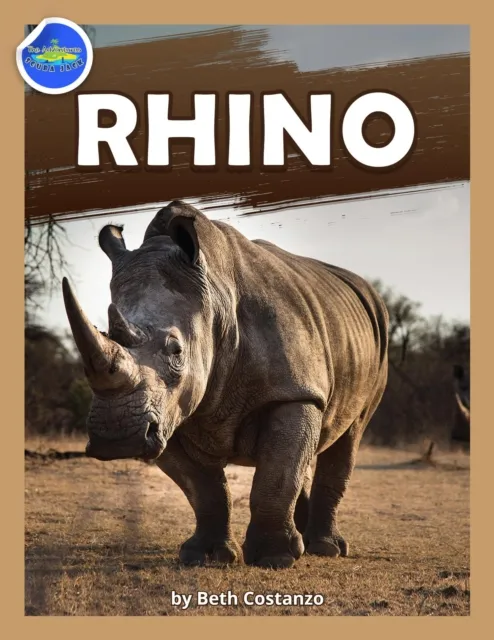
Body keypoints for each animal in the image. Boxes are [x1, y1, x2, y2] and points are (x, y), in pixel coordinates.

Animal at [63, 200, 389, 569]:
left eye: (176, 351)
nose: (116, 438)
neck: (215, 302)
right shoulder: (168, 413)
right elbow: (205, 489)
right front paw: (204, 555)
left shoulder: (293, 392)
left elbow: (276, 476)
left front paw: (274, 558)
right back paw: (307, 539)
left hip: (376, 341)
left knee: (350, 433)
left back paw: (325, 548)